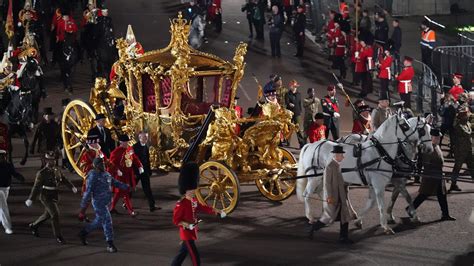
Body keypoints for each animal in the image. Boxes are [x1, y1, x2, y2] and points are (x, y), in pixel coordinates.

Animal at [296, 113, 434, 234]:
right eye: (405, 126)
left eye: (430, 129)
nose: (430, 149)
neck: (380, 152)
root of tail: (311, 145)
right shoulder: (380, 184)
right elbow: (381, 204)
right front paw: (386, 226)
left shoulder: (383, 183)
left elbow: (374, 202)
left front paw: (359, 220)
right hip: (315, 177)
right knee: (307, 194)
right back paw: (311, 217)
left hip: (324, 176)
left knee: (323, 192)